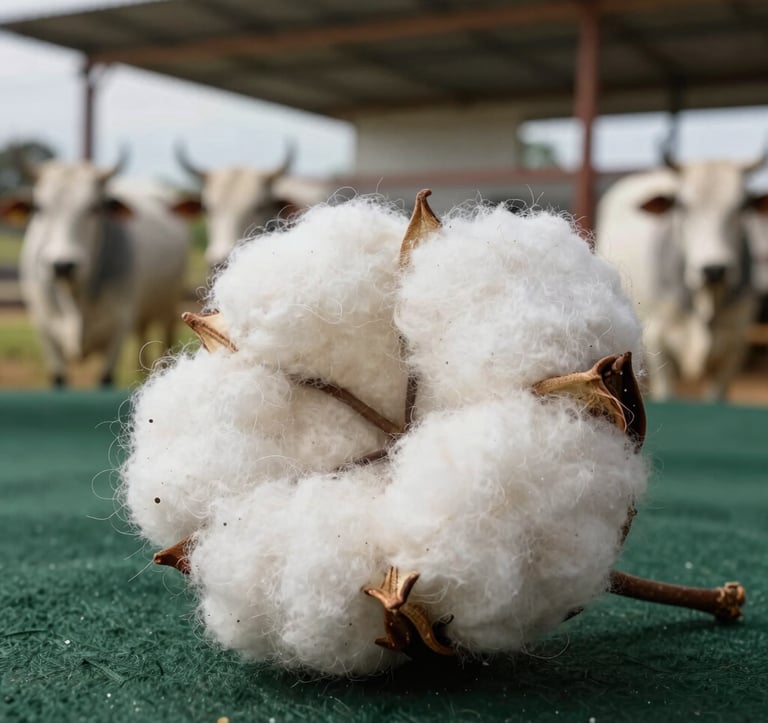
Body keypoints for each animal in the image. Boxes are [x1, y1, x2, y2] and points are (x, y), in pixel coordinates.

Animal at [0, 152, 189, 387]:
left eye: (94, 207)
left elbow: (105, 378)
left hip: (168, 309)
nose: (63, 265)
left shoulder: (117, 330)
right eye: (39, 207)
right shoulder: (45, 332)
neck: (75, 300)